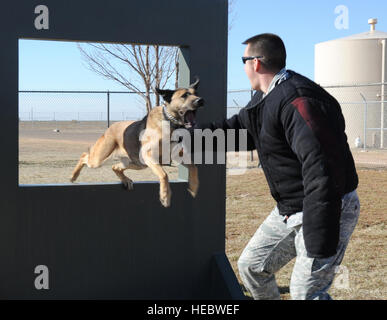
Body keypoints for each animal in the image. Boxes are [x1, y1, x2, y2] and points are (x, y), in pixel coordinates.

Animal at [70, 78, 205, 206]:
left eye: (196, 93)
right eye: (184, 95)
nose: (200, 100)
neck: (171, 122)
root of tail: (111, 126)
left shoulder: (178, 155)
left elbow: (194, 167)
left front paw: (193, 187)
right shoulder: (149, 155)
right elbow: (164, 174)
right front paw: (165, 196)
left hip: (138, 163)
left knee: (115, 167)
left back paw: (126, 180)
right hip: (100, 158)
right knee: (84, 156)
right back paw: (73, 176)